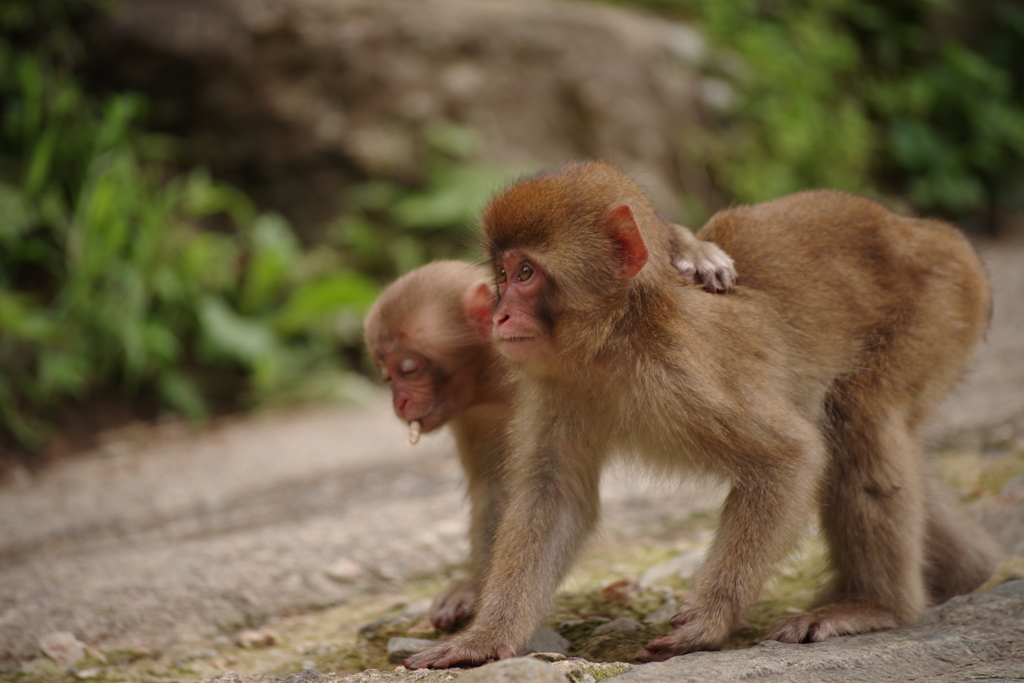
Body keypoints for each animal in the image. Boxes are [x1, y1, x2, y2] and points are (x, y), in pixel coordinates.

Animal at [364, 233, 741, 630]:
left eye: (409, 368)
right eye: (386, 375)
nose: (400, 401)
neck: (496, 375)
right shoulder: (474, 414)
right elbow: (495, 488)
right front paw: (475, 587)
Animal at [403, 161, 1003, 667]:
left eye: (526, 273)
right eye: (502, 275)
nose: (500, 314)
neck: (617, 339)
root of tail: (928, 230)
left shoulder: (685, 372)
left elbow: (792, 456)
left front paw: (710, 621)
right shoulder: (556, 388)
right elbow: (553, 497)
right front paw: (487, 638)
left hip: (940, 307)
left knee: (860, 419)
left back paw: (876, 606)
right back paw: (963, 572)